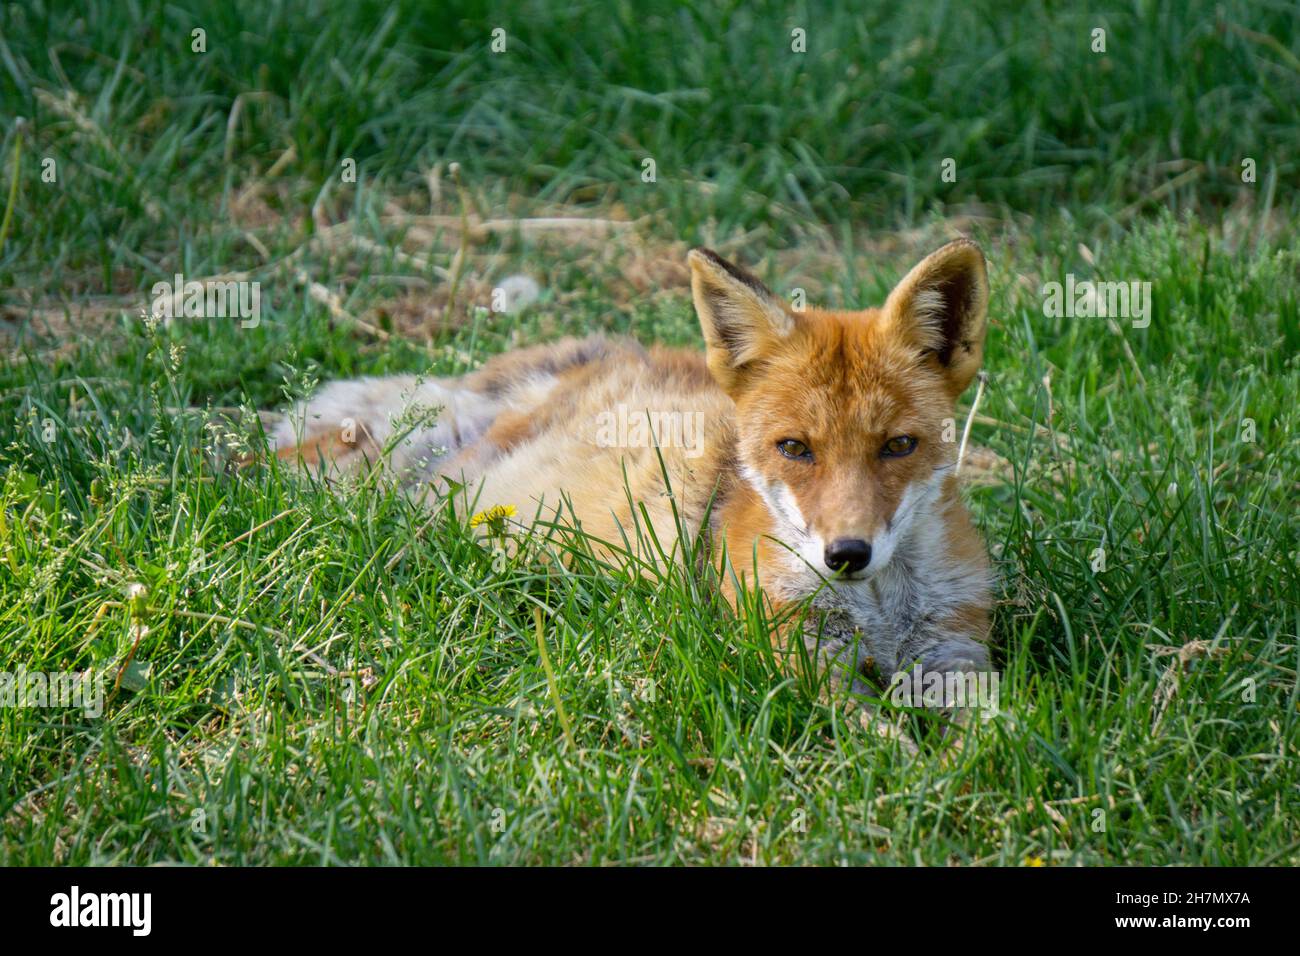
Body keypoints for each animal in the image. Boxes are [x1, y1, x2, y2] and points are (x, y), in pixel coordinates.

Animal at [269, 239, 987, 733]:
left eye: (898, 446)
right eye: (794, 449)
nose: (847, 555)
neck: (880, 611)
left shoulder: (956, 647)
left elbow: (989, 731)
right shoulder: (790, 649)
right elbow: (881, 736)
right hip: (390, 482)